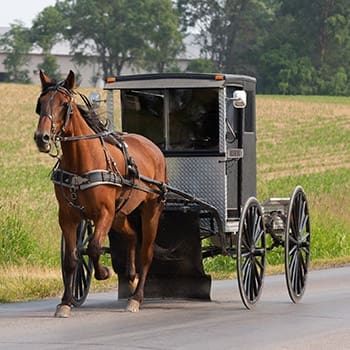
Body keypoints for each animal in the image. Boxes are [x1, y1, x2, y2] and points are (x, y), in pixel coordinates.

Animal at [33, 70, 167, 318]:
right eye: (41, 103)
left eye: (64, 104)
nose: (42, 137)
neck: (81, 163)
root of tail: (152, 146)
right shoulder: (67, 217)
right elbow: (71, 258)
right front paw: (66, 302)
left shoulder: (104, 213)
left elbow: (94, 247)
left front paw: (103, 272)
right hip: (120, 214)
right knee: (132, 236)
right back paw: (131, 276)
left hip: (151, 208)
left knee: (146, 252)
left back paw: (136, 298)